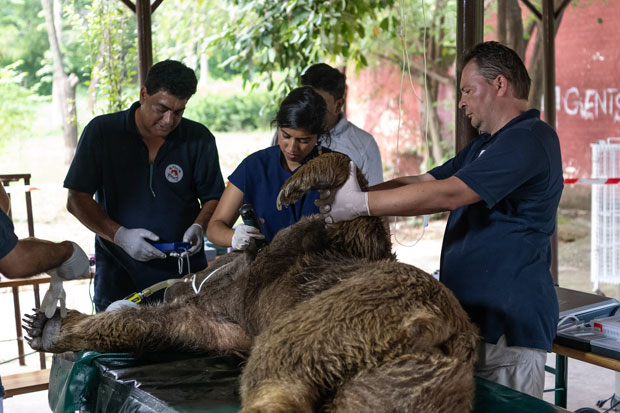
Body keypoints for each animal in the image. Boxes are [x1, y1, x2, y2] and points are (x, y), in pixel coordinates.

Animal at [24, 151, 480, 412]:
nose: (176, 282)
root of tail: (432, 329)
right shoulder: (226, 324)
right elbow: (155, 326)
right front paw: (48, 325)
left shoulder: (318, 253)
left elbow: (354, 223)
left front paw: (299, 185)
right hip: (408, 375)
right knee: (369, 397)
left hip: (358, 307)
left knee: (286, 357)